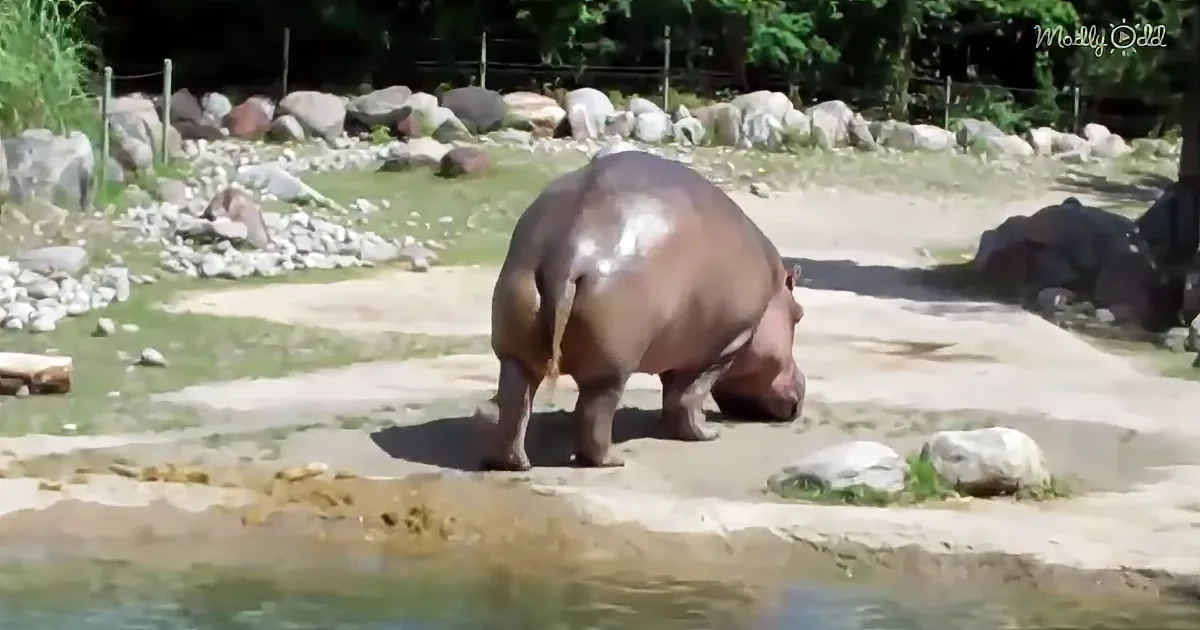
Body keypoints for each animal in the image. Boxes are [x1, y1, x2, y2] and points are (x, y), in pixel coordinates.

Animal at [483, 151, 806, 472]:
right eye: (799, 314)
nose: (801, 386)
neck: (774, 289)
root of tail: (570, 249)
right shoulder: (726, 346)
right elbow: (689, 395)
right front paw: (707, 433)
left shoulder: (679, 343)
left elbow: (673, 393)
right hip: (611, 366)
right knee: (594, 412)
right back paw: (613, 460)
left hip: (515, 346)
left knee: (515, 401)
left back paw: (515, 463)